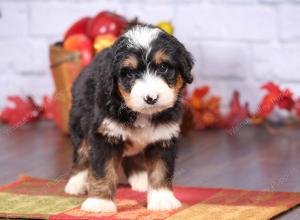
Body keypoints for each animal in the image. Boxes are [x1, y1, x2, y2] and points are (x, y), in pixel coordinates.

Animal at [64, 24, 193, 213]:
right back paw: (75, 184)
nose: (151, 98)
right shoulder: (104, 135)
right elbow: (103, 170)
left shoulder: (163, 137)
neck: (141, 113)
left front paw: (162, 199)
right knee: (80, 154)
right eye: (130, 73)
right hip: (80, 123)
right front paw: (100, 202)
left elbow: (161, 170)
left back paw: (141, 180)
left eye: (163, 67)